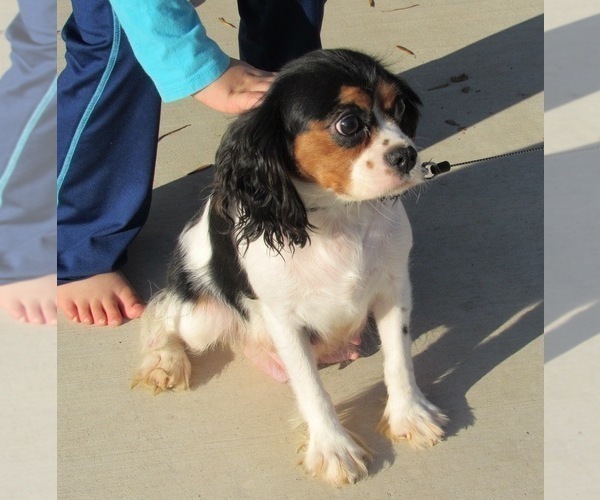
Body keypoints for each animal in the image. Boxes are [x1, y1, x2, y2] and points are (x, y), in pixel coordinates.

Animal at [134, 48, 448, 486]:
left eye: (399, 108)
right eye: (348, 124)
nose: (408, 154)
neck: (339, 214)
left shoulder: (394, 290)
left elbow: (399, 359)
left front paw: (410, 417)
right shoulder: (283, 318)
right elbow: (311, 387)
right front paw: (333, 448)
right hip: (202, 314)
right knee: (161, 310)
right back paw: (165, 361)